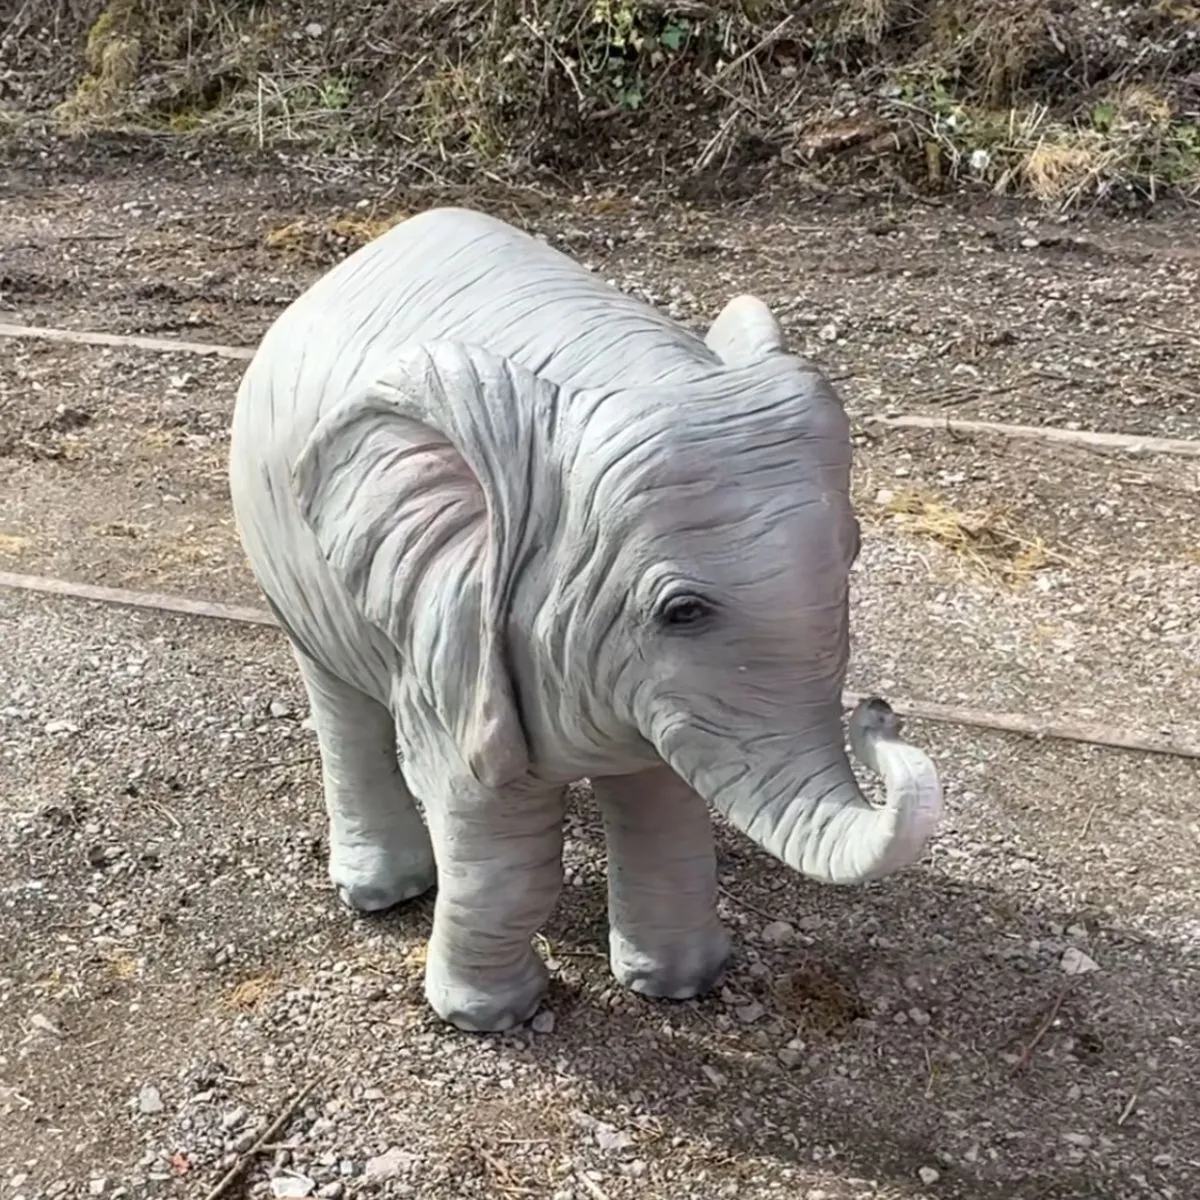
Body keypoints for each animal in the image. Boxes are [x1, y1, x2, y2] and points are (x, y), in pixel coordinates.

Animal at [228, 205, 943, 1033]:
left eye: (852, 556)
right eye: (681, 611)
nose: (879, 715)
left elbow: (662, 802)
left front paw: (679, 987)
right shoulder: (454, 626)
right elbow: (497, 838)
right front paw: (490, 1020)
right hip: (285, 555)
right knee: (340, 699)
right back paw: (384, 897)